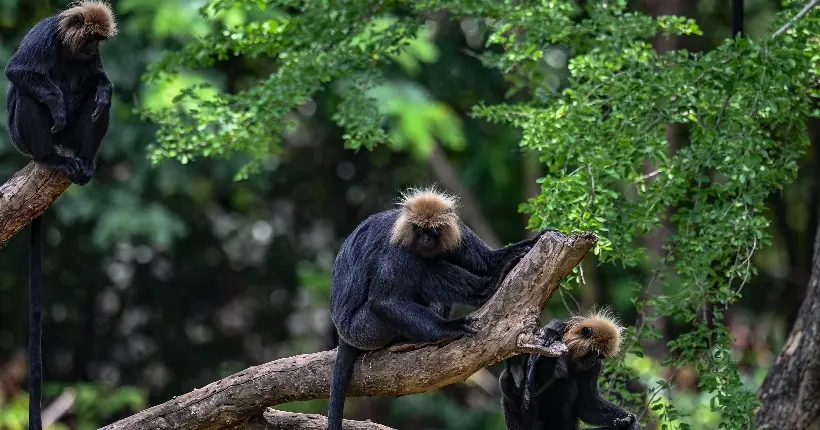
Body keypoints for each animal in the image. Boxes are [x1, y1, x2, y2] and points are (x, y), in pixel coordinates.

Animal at [2, 1, 117, 428]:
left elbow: (101, 82)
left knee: (98, 103)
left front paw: (102, 89)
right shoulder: (45, 35)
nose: (93, 49)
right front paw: (55, 104)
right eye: (92, 38)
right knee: (27, 95)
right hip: (24, 139)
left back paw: (84, 163)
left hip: (75, 142)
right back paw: (51, 158)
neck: (70, 50)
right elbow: (18, 71)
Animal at [326, 187, 544, 430]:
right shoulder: (397, 249)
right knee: (422, 267)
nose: (426, 239)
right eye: (420, 229)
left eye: (434, 230)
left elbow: (486, 261)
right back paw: (485, 291)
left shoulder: (457, 232)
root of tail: (342, 331)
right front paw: (449, 329)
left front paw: (528, 245)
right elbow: (385, 301)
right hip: (365, 330)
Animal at [496, 310, 644, 430]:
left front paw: (628, 422)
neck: (572, 355)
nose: (592, 360)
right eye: (593, 352)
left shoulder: (594, 367)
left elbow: (587, 405)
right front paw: (553, 337)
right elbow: (533, 386)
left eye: (600, 356)